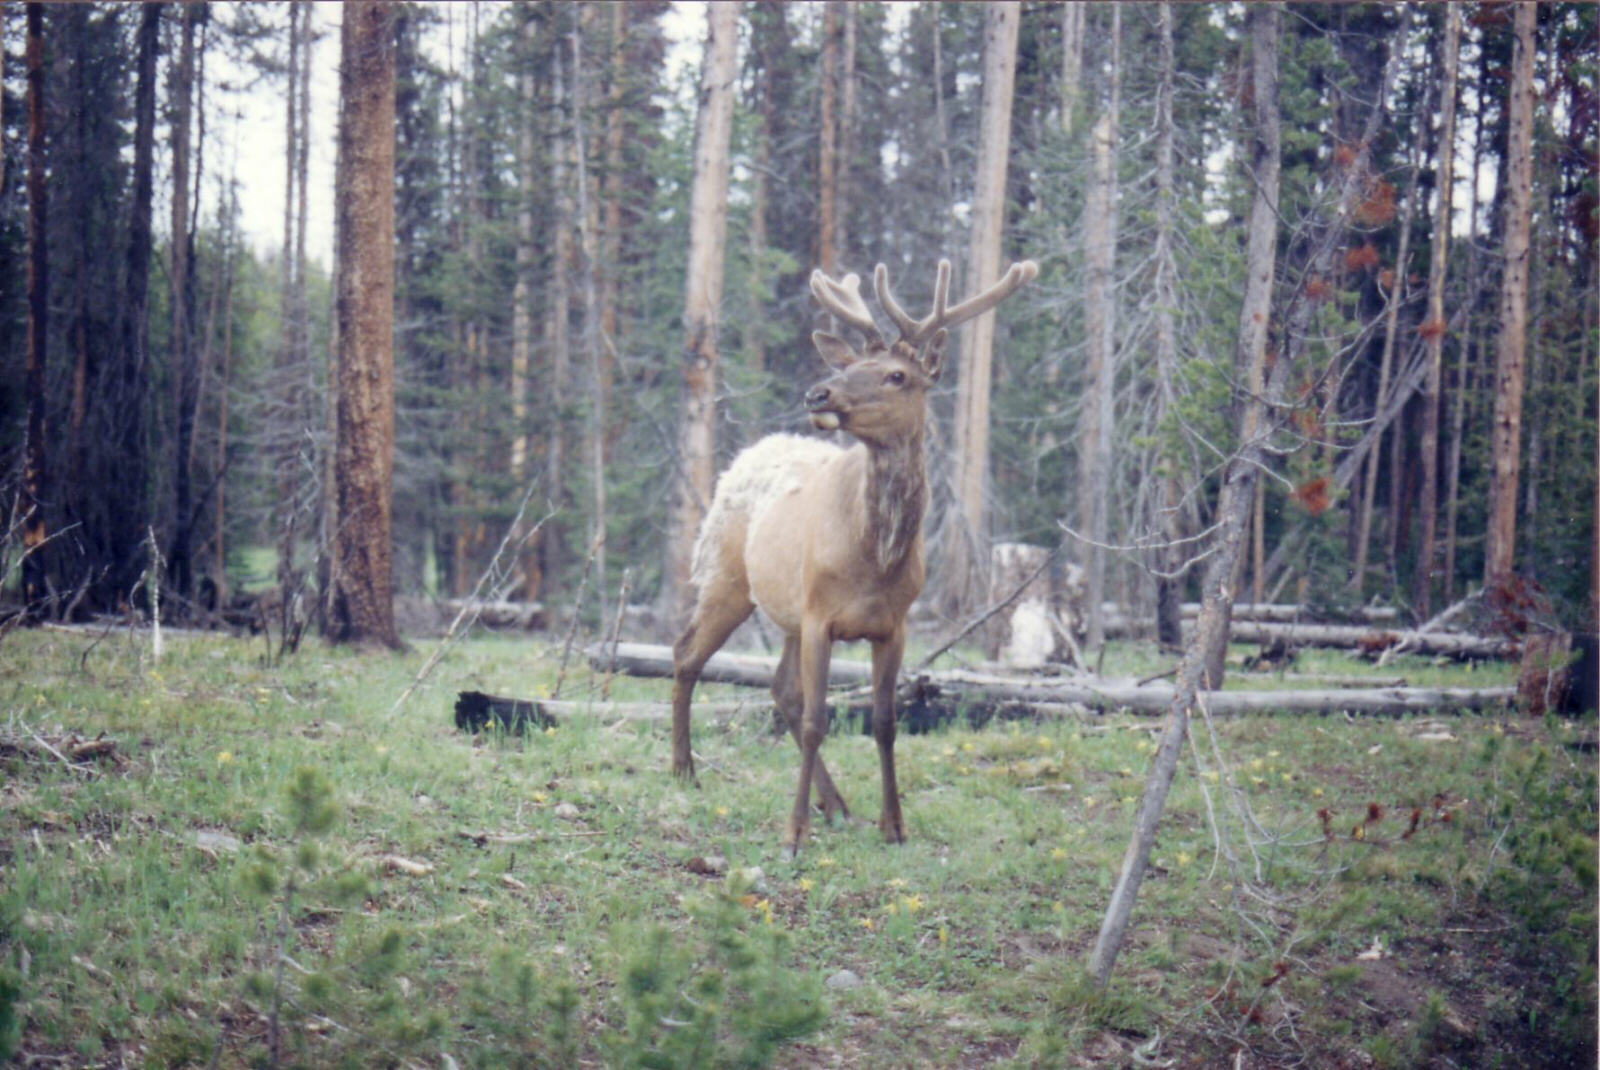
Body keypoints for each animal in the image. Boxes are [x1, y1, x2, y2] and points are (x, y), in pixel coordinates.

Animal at [672, 254, 1036, 857]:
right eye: (853, 365)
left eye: (897, 375)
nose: (819, 394)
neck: (875, 560)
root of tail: (744, 457)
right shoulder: (822, 616)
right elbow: (818, 720)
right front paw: (793, 835)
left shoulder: (894, 625)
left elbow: (884, 721)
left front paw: (894, 825)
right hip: (727, 577)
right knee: (687, 656)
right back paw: (684, 770)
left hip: (786, 613)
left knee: (779, 689)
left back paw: (837, 805)